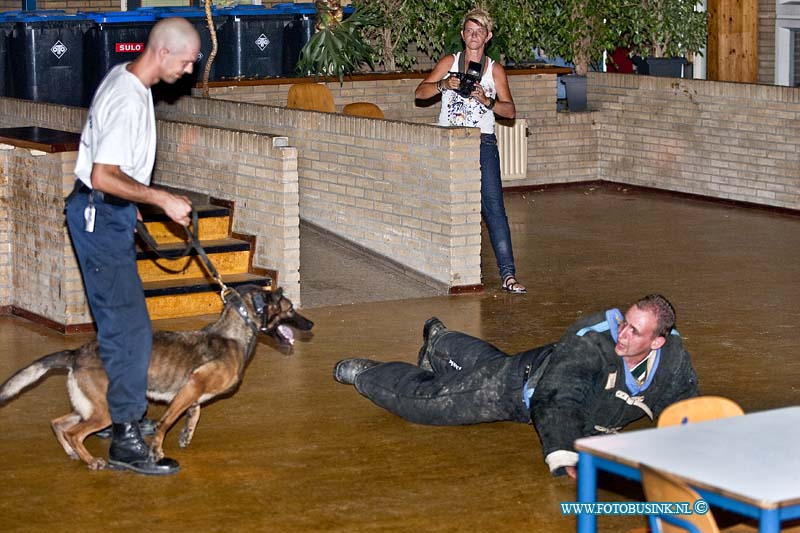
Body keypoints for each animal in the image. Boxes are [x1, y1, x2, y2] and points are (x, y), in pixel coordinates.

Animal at [0, 284, 312, 468]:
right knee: (75, 432)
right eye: (290, 309)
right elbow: (166, 423)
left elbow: (194, 414)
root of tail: (77, 353)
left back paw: (73, 453)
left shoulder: (193, 394)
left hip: (87, 407)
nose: (311, 324)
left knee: (59, 424)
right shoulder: (190, 387)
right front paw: (156, 453)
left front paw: (186, 435)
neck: (233, 335)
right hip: (103, 411)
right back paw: (90, 460)